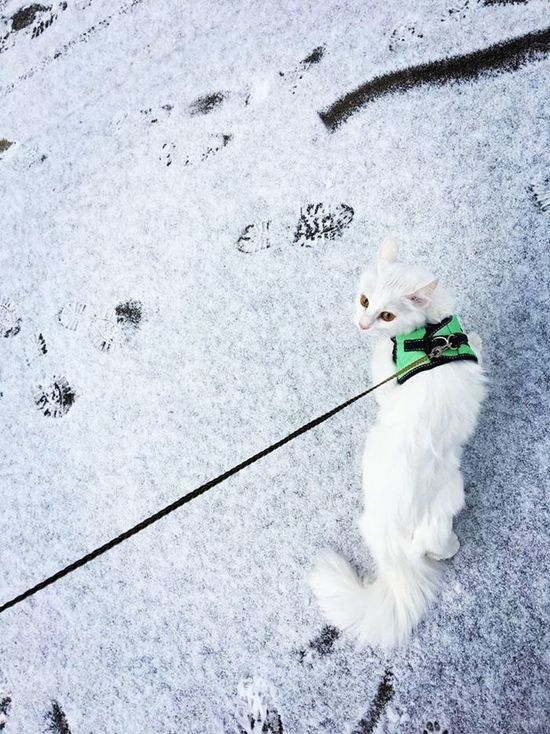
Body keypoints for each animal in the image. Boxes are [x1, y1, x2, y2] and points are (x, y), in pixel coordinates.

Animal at [310, 239, 488, 648]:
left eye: (387, 315)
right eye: (364, 300)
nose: (362, 324)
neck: (432, 333)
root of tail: (391, 544)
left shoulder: (387, 378)